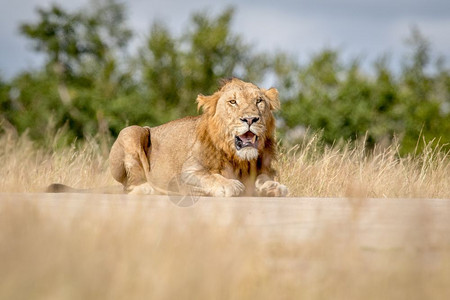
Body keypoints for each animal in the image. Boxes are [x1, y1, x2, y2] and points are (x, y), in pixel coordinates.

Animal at [48, 78, 288, 197]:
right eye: (233, 102)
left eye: (259, 101)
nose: (251, 119)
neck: (238, 159)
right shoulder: (184, 174)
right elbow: (208, 176)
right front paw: (229, 185)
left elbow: (263, 178)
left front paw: (273, 187)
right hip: (132, 131)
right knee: (129, 186)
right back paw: (146, 189)